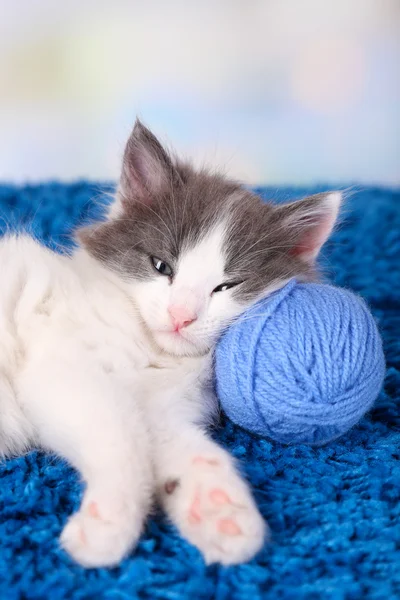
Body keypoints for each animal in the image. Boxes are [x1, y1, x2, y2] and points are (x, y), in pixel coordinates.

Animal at [0, 120, 340, 568]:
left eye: (227, 285)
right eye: (162, 266)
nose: (181, 316)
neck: (153, 352)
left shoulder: (163, 409)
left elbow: (186, 448)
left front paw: (222, 510)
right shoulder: (63, 366)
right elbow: (121, 434)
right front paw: (110, 525)